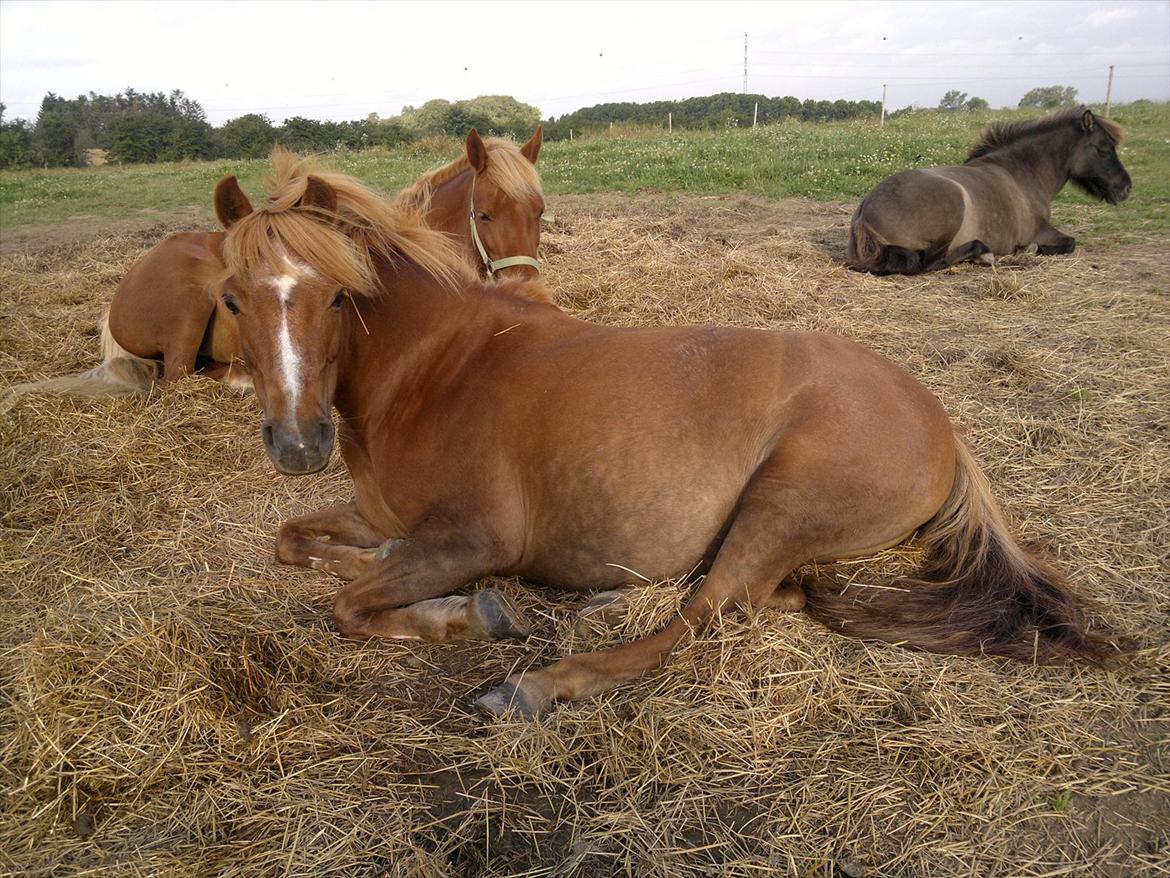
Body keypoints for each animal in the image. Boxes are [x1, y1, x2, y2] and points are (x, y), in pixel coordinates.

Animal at [205, 151, 1118, 721]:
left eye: (336, 296)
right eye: (231, 298)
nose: (298, 443)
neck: (438, 365)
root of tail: (942, 425)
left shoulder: (472, 537)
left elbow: (350, 604)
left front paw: (465, 616)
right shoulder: (381, 516)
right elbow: (297, 542)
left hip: (782, 503)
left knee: (707, 615)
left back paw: (537, 686)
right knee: (768, 597)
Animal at [851, 109, 1132, 275]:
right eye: (1103, 148)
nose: (1126, 188)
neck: (1022, 174)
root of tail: (865, 211)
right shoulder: (1039, 230)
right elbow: (1069, 243)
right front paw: (1028, 251)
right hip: (953, 210)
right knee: (929, 262)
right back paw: (983, 254)